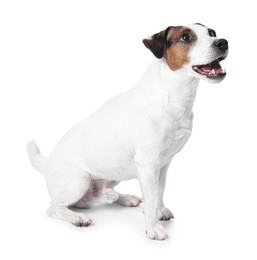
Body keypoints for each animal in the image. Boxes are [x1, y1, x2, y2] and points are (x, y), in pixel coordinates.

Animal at [27, 23, 228, 241]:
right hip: (79, 180)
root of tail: (46, 164)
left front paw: (159, 211)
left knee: (92, 198)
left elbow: (159, 192)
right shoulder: (149, 164)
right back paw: (76, 217)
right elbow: (152, 198)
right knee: (55, 207)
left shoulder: (163, 164)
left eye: (212, 33)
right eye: (185, 37)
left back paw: (122, 197)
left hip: (113, 173)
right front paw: (153, 228)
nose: (223, 42)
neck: (170, 95)